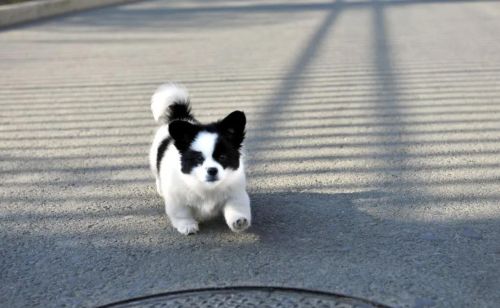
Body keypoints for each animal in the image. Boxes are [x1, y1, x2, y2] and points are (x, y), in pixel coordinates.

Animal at [147, 83, 250, 235]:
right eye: (198, 159)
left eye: (222, 157)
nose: (212, 170)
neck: (207, 187)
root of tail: (181, 117)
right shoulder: (177, 198)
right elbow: (181, 213)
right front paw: (187, 225)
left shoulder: (235, 192)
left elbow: (236, 206)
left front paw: (239, 220)